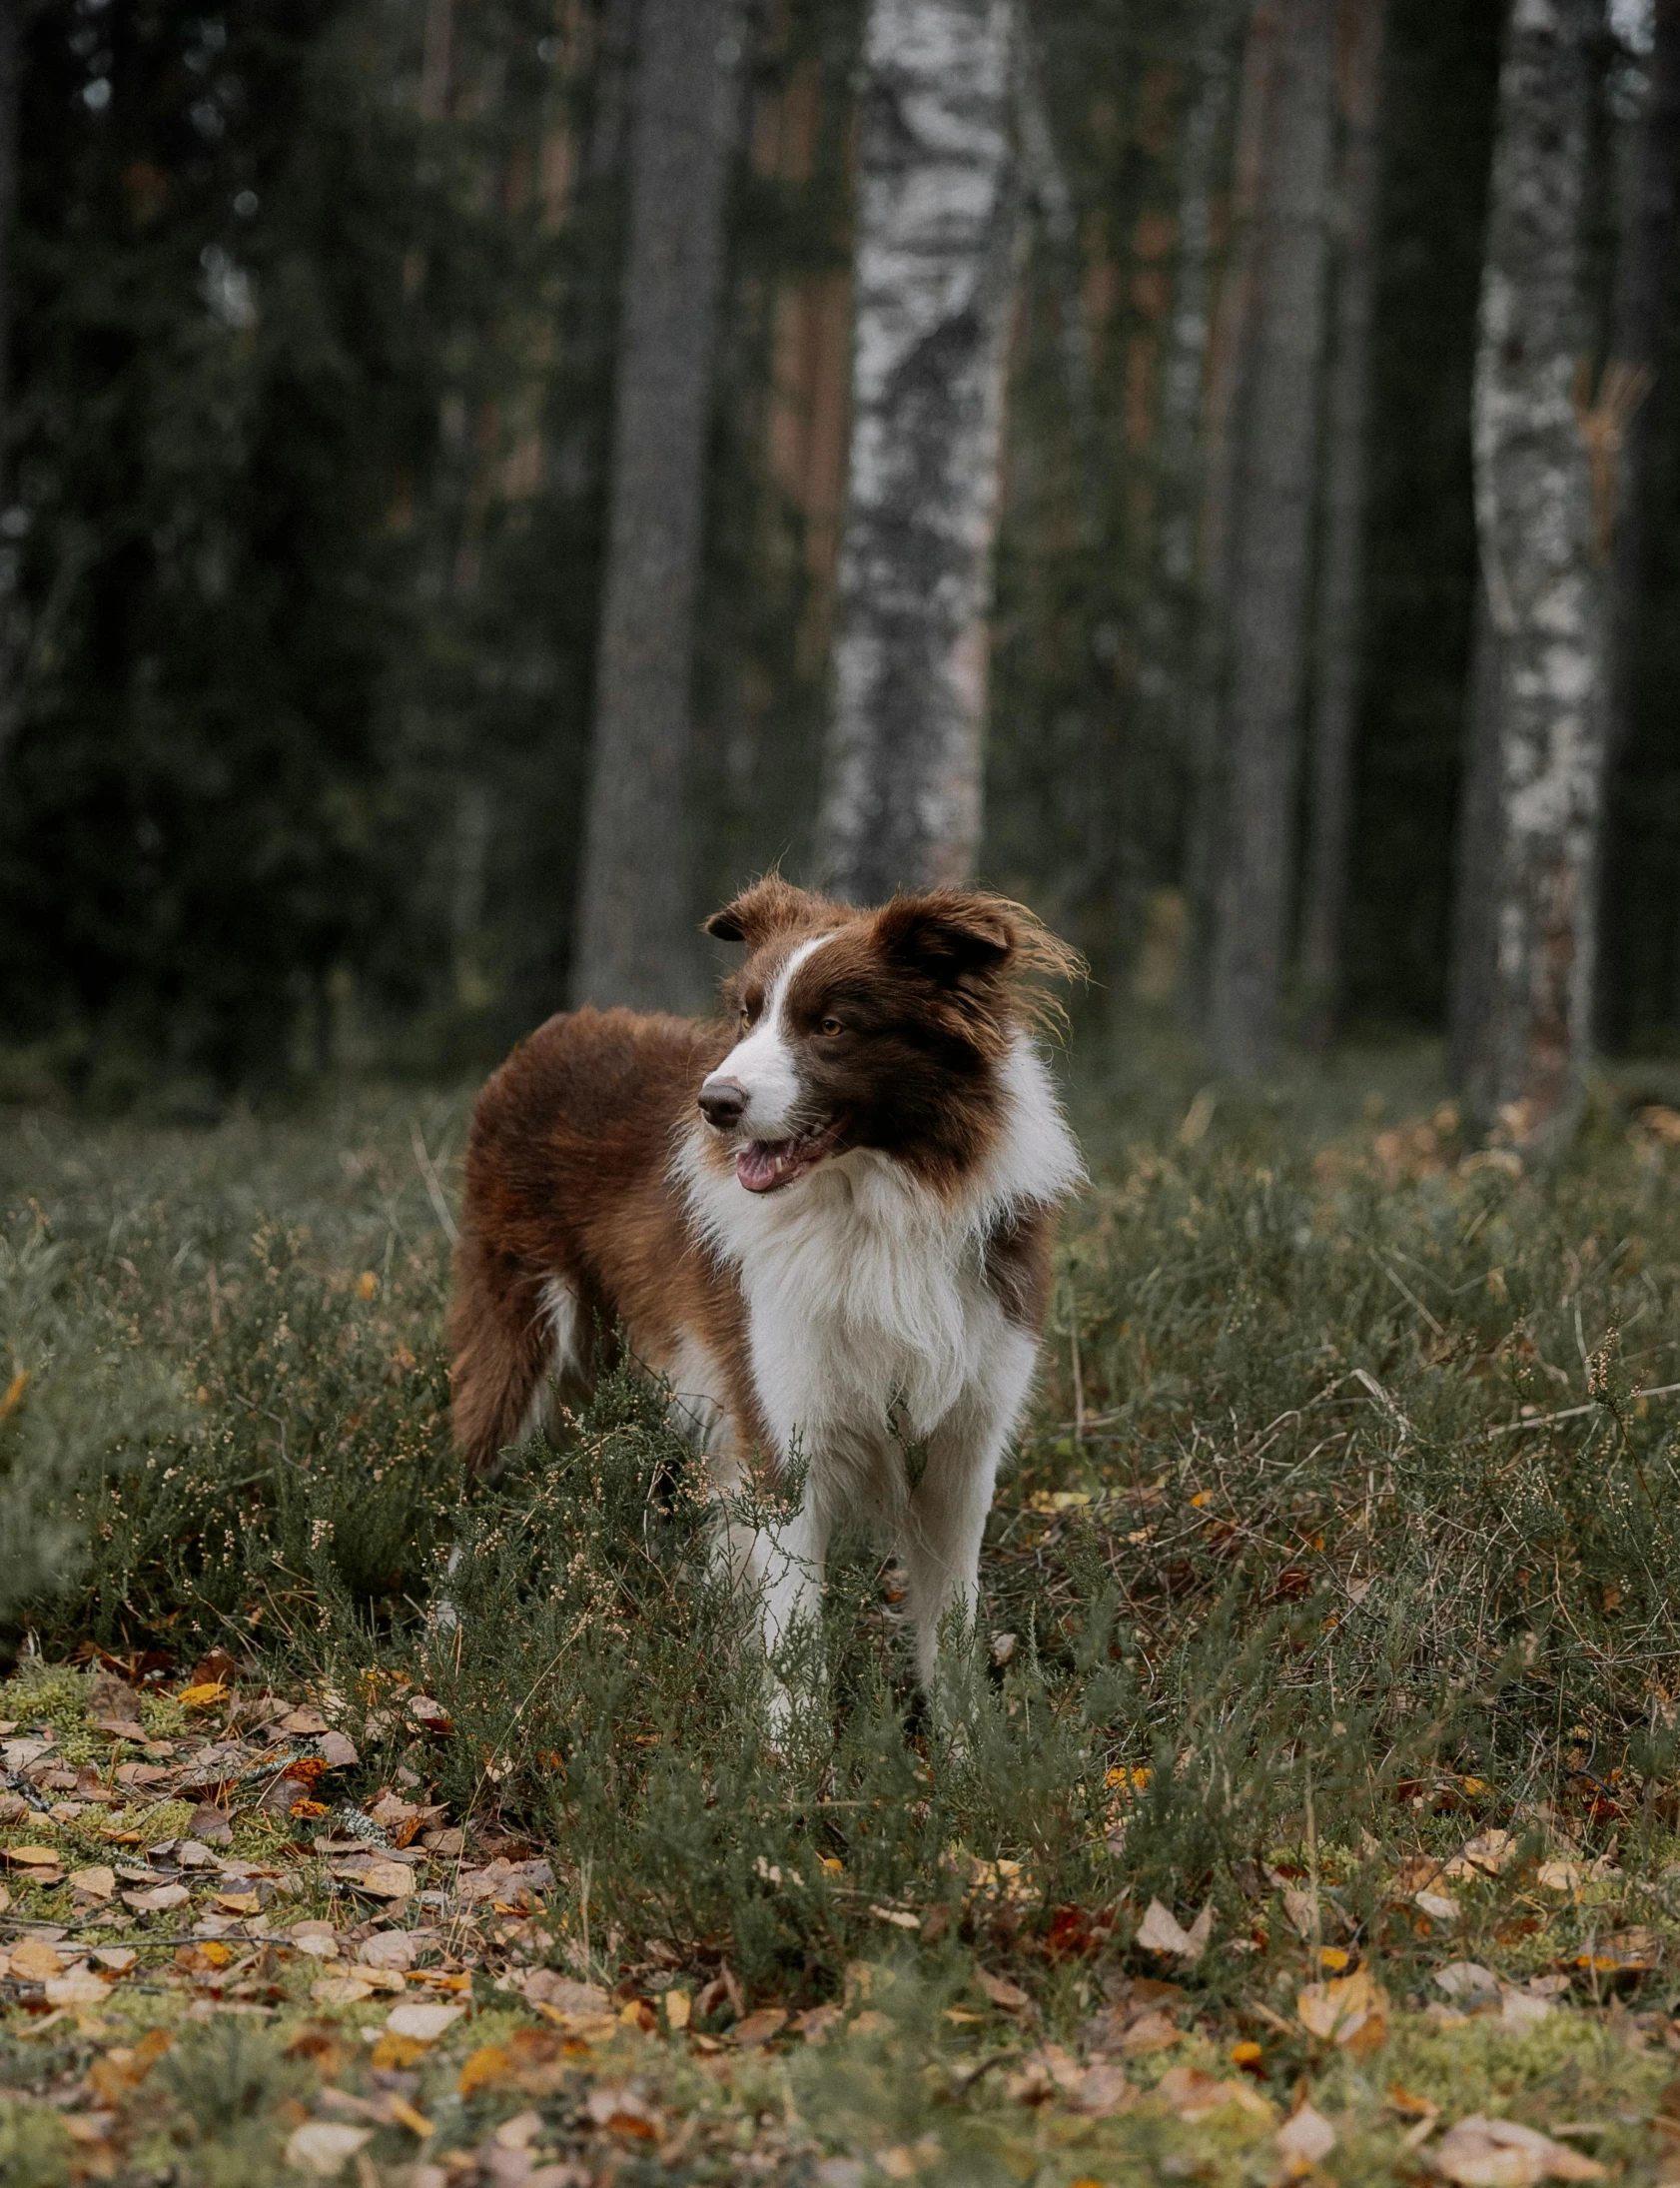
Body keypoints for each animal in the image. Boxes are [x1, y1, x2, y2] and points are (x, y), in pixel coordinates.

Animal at [445, 879, 1085, 1714]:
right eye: (748, 1016)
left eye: (832, 1026)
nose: (714, 1103)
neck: (875, 1212)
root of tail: (551, 1033)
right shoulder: (786, 1442)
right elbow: (795, 1645)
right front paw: (792, 1749)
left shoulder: (962, 1448)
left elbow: (951, 1632)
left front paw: (969, 1745)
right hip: (526, 1335)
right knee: (474, 1484)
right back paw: (447, 1642)